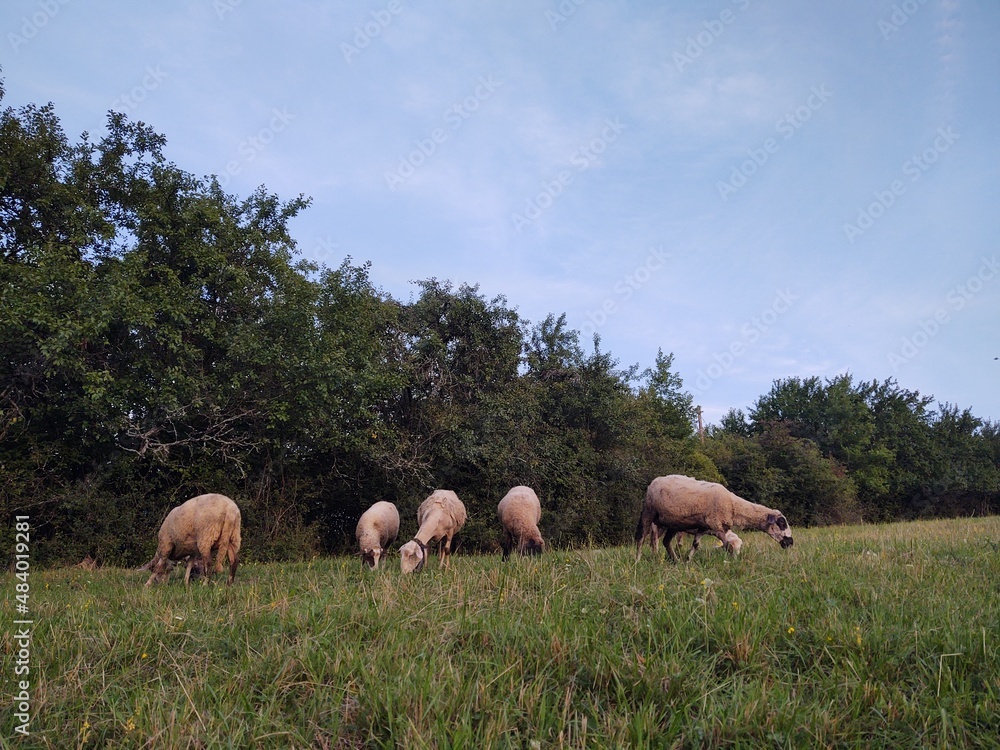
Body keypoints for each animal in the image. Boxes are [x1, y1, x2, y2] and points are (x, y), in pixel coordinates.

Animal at [636, 476, 792, 564]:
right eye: (782, 523)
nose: (790, 542)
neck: (734, 506)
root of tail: (654, 481)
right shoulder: (717, 527)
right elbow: (727, 546)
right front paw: (733, 562)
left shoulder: (704, 527)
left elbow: (695, 545)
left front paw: (688, 561)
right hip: (650, 512)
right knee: (643, 538)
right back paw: (638, 560)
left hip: (673, 523)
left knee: (666, 541)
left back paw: (676, 560)